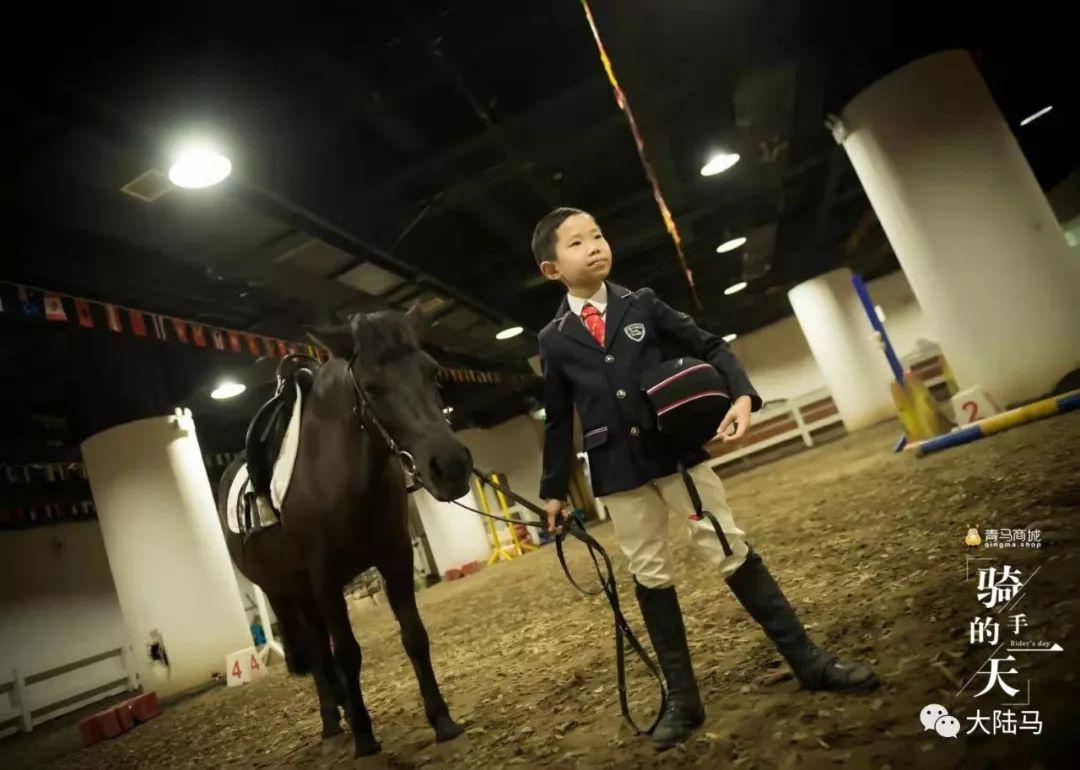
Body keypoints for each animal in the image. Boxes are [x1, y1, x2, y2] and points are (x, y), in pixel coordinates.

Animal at [218, 302, 473, 755]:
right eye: (370, 387)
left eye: (433, 372)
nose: (451, 467)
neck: (341, 475)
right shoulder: (325, 579)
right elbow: (348, 654)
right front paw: (365, 738)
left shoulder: (395, 558)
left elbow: (414, 635)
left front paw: (441, 719)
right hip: (282, 591)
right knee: (318, 651)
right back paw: (332, 721)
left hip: (303, 591)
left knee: (319, 645)